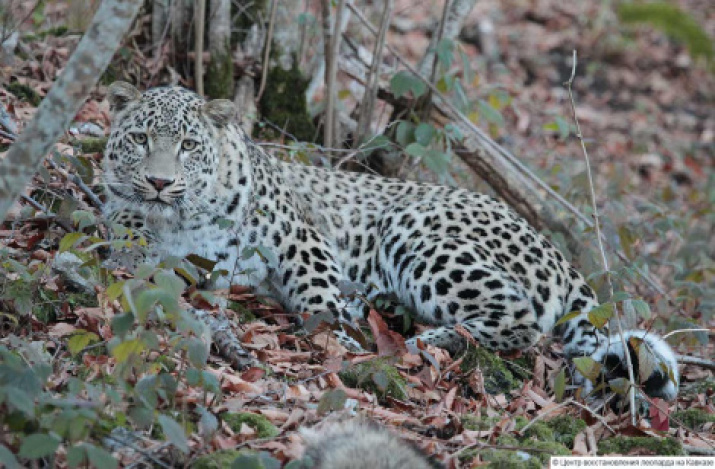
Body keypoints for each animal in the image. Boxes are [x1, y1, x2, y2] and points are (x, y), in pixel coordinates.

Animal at [103, 81, 680, 402]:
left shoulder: (300, 236)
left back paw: (425, 343)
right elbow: (133, 253)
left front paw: (339, 339)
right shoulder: (131, 228)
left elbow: (317, 296)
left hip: (415, 228)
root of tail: (555, 250)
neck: (183, 218)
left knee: (522, 321)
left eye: (188, 144)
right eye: (140, 139)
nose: (159, 181)